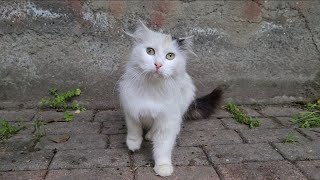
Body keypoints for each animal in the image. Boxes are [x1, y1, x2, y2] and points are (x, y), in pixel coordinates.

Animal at [119, 20, 224, 176]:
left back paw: (152, 135)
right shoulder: (131, 109)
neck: (153, 88)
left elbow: (163, 147)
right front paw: (133, 144)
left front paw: (163, 167)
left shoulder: (168, 119)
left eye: (170, 56)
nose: (158, 65)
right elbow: (134, 129)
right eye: (150, 51)